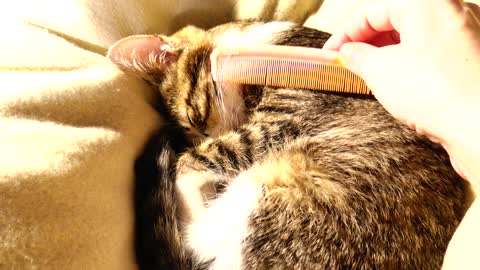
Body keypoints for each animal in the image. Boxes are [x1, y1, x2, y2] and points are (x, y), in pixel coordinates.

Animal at [108, 21, 468, 270]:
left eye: (195, 120)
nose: (208, 135)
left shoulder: (274, 125)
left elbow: (191, 163)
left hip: (265, 195)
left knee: (195, 236)